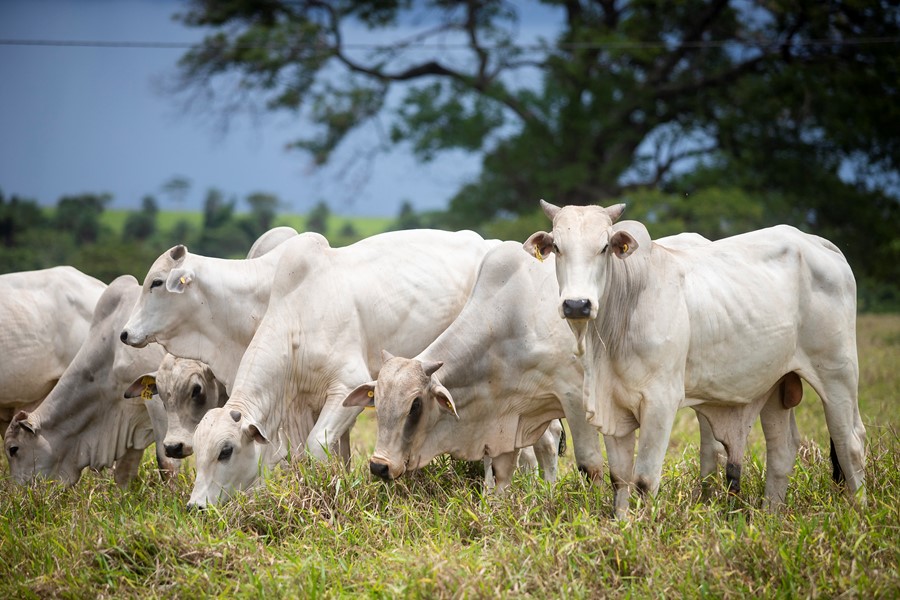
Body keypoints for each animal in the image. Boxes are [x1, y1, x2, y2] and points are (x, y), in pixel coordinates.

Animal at [190, 230, 500, 506]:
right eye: (196, 451)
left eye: (226, 451)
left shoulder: (348, 387)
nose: (196, 505)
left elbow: (317, 447)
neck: (296, 323)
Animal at [344, 240, 604, 492]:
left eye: (415, 405)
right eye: (376, 400)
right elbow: (500, 473)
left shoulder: (573, 396)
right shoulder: (509, 416)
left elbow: (590, 465)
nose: (379, 466)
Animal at [524, 200, 868, 516]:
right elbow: (619, 478)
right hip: (776, 383)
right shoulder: (613, 407)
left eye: (604, 246)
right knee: (782, 448)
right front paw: (621, 525)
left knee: (850, 442)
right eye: (557, 247)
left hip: (838, 373)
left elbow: (644, 480)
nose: (577, 304)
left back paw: (858, 511)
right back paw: (771, 514)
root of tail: (819, 244)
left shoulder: (661, 403)